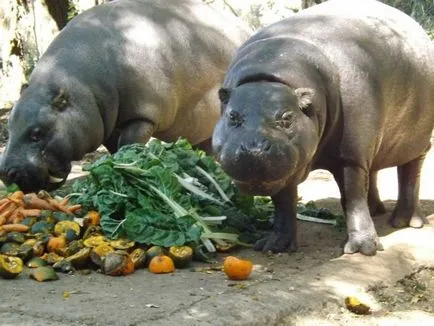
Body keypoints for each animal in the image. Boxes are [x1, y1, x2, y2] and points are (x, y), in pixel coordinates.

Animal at [0, 0, 251, 192]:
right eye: (9, 126)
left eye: (36, 133)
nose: (6, 173)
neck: (81, 88)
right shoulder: (105, 123)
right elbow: (114, 147)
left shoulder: (143, 116)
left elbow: (127, 144)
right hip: (203, 131)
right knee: (207, 148)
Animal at [213, 0, 434, 256]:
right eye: (232, 116)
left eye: (287, 118)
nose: (254, 149)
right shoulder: (287, 167)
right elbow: (284, 202)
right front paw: (275, 246)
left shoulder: (350, 156)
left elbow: (352, 197)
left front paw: (362, 249)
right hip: (372, 143)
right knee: (373, 171)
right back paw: (376, 209)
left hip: (416, 141)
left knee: (410, 172)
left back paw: (404, 222)